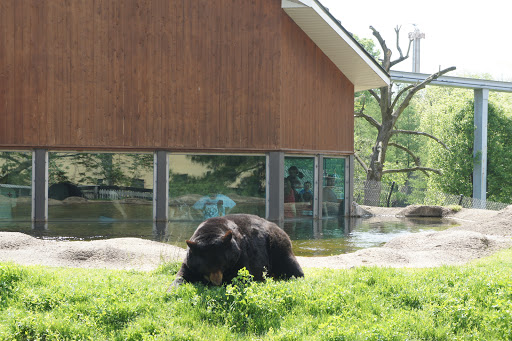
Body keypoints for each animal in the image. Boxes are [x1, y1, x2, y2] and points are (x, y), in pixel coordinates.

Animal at [168, 214, 304, 288]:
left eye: (222, 264)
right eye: (205, 266)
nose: (216, 282)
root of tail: (279, 227)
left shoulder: (240, 254)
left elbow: (243, 276)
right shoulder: (190, 260)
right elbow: (182, 274)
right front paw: (172, 289)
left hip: (276, 245)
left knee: (289, 263)